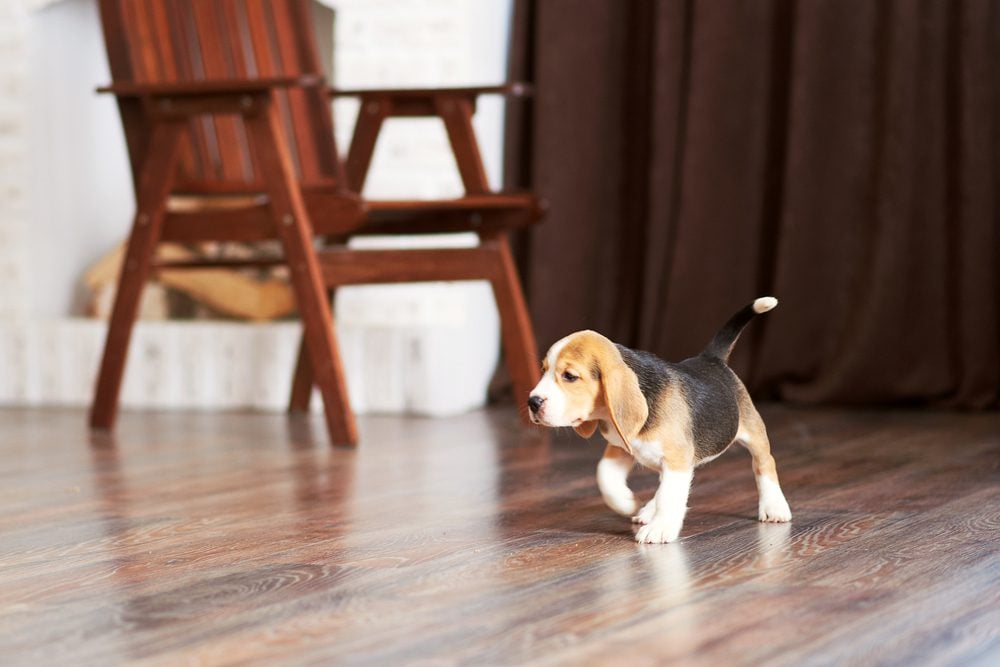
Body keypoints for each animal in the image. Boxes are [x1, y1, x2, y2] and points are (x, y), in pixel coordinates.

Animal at [528, 298, 792, 544]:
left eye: (570, 376)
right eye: (543, 370)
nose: (532, 402)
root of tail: (710, 358)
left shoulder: (677, 459)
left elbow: (669, 495)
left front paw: (660, 527)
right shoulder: (622, 446)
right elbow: (604, 474)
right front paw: (626, 502)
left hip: (752, 432)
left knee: (764, 464)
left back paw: (774, 506)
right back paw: (647, 509)